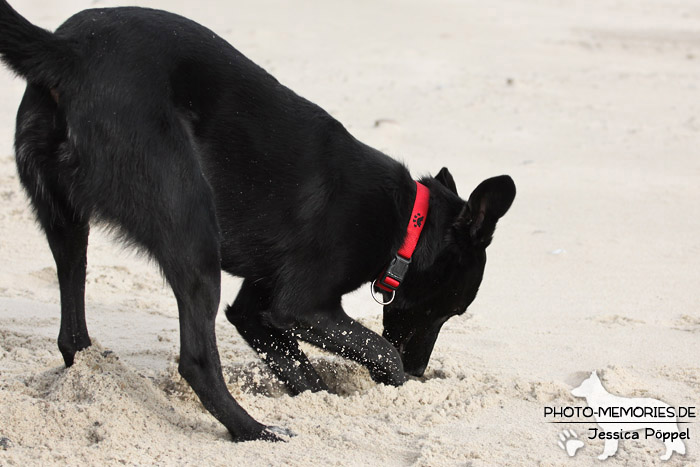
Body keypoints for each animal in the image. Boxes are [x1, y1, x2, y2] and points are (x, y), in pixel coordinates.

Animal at [0, 2, 516, 442]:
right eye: (452, 309)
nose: (421, 371)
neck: (408, 219)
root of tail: (65, 53)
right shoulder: (303, 307)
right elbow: (379, 349)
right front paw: (390, 379)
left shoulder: (256, 309)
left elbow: (302, 370)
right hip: (191, 227)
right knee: (197, 361)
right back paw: (255, 431)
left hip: (67, 223)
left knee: (71, 334)